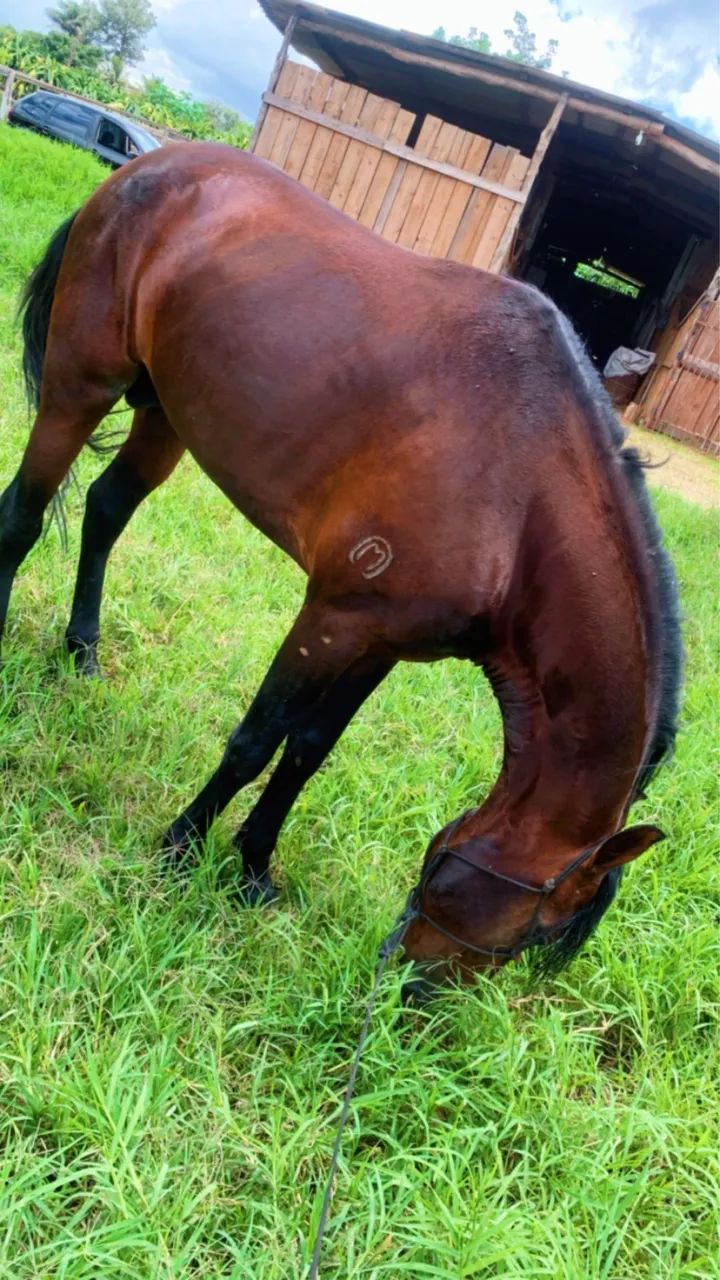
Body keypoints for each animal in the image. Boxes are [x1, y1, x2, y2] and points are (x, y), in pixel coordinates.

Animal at [1, 142, 681, 997]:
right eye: (532, 932)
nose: (409, 991)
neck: (515, 493)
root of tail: (143, 166)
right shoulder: (332, 615)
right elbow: (258, 737)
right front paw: (183, 845)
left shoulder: (384, 642)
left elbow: (309, 750)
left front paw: (252, 867)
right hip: (80, 383)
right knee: (22, 515)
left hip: (167, 414)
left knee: (104, 510)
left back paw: (83, 650)